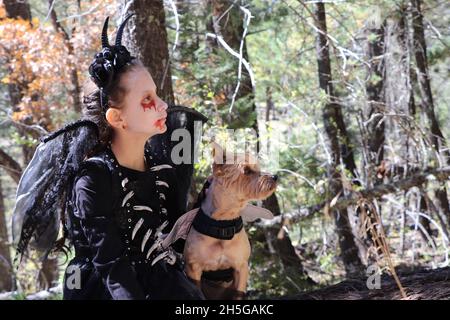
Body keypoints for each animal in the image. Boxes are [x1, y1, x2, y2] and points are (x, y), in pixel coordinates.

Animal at [163, 144, 278, 298]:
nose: (275, 176)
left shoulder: (241, 267)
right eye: (247, 170)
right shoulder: (193, 269)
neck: (223, 222)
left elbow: (238, 294)